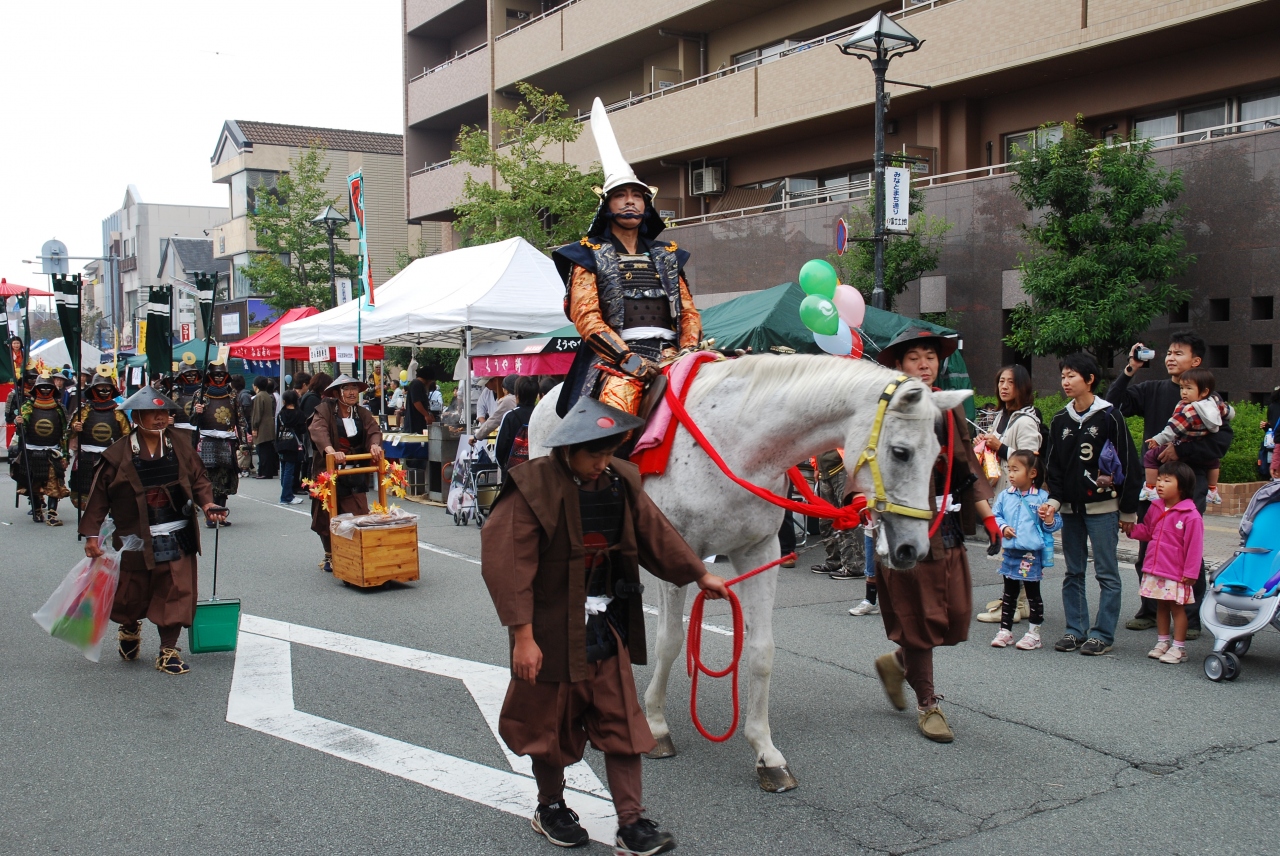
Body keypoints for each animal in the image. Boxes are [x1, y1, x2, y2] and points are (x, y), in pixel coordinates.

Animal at [529, 353, 967, 788]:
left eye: (937, 455)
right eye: (901, 452)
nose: (912, 548)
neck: (737, 445)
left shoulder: (759, 552)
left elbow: (760, 651)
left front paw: (765, 751)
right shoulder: (675, 552)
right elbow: (670, 640)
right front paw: (655, 726)